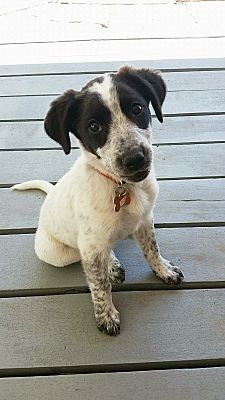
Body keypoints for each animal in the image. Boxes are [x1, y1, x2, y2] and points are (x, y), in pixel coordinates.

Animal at [12, 67, 184, 336]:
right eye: (94, 126)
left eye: (136, 108)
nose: (135, 158)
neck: (122, 186)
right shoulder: (91, 247)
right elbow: (99, 284)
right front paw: (106, 315)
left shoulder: (145, 220)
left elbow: (152, 249)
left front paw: (163, 270)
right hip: (59, 253)